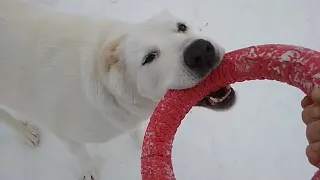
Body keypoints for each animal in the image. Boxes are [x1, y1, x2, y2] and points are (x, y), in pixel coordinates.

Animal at [0, 0, 235, 180]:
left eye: (181, 27)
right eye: (148, 58)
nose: (200, 52)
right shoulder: (64, 131)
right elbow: (80, 153)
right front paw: (88, 170)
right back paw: (26, 132)